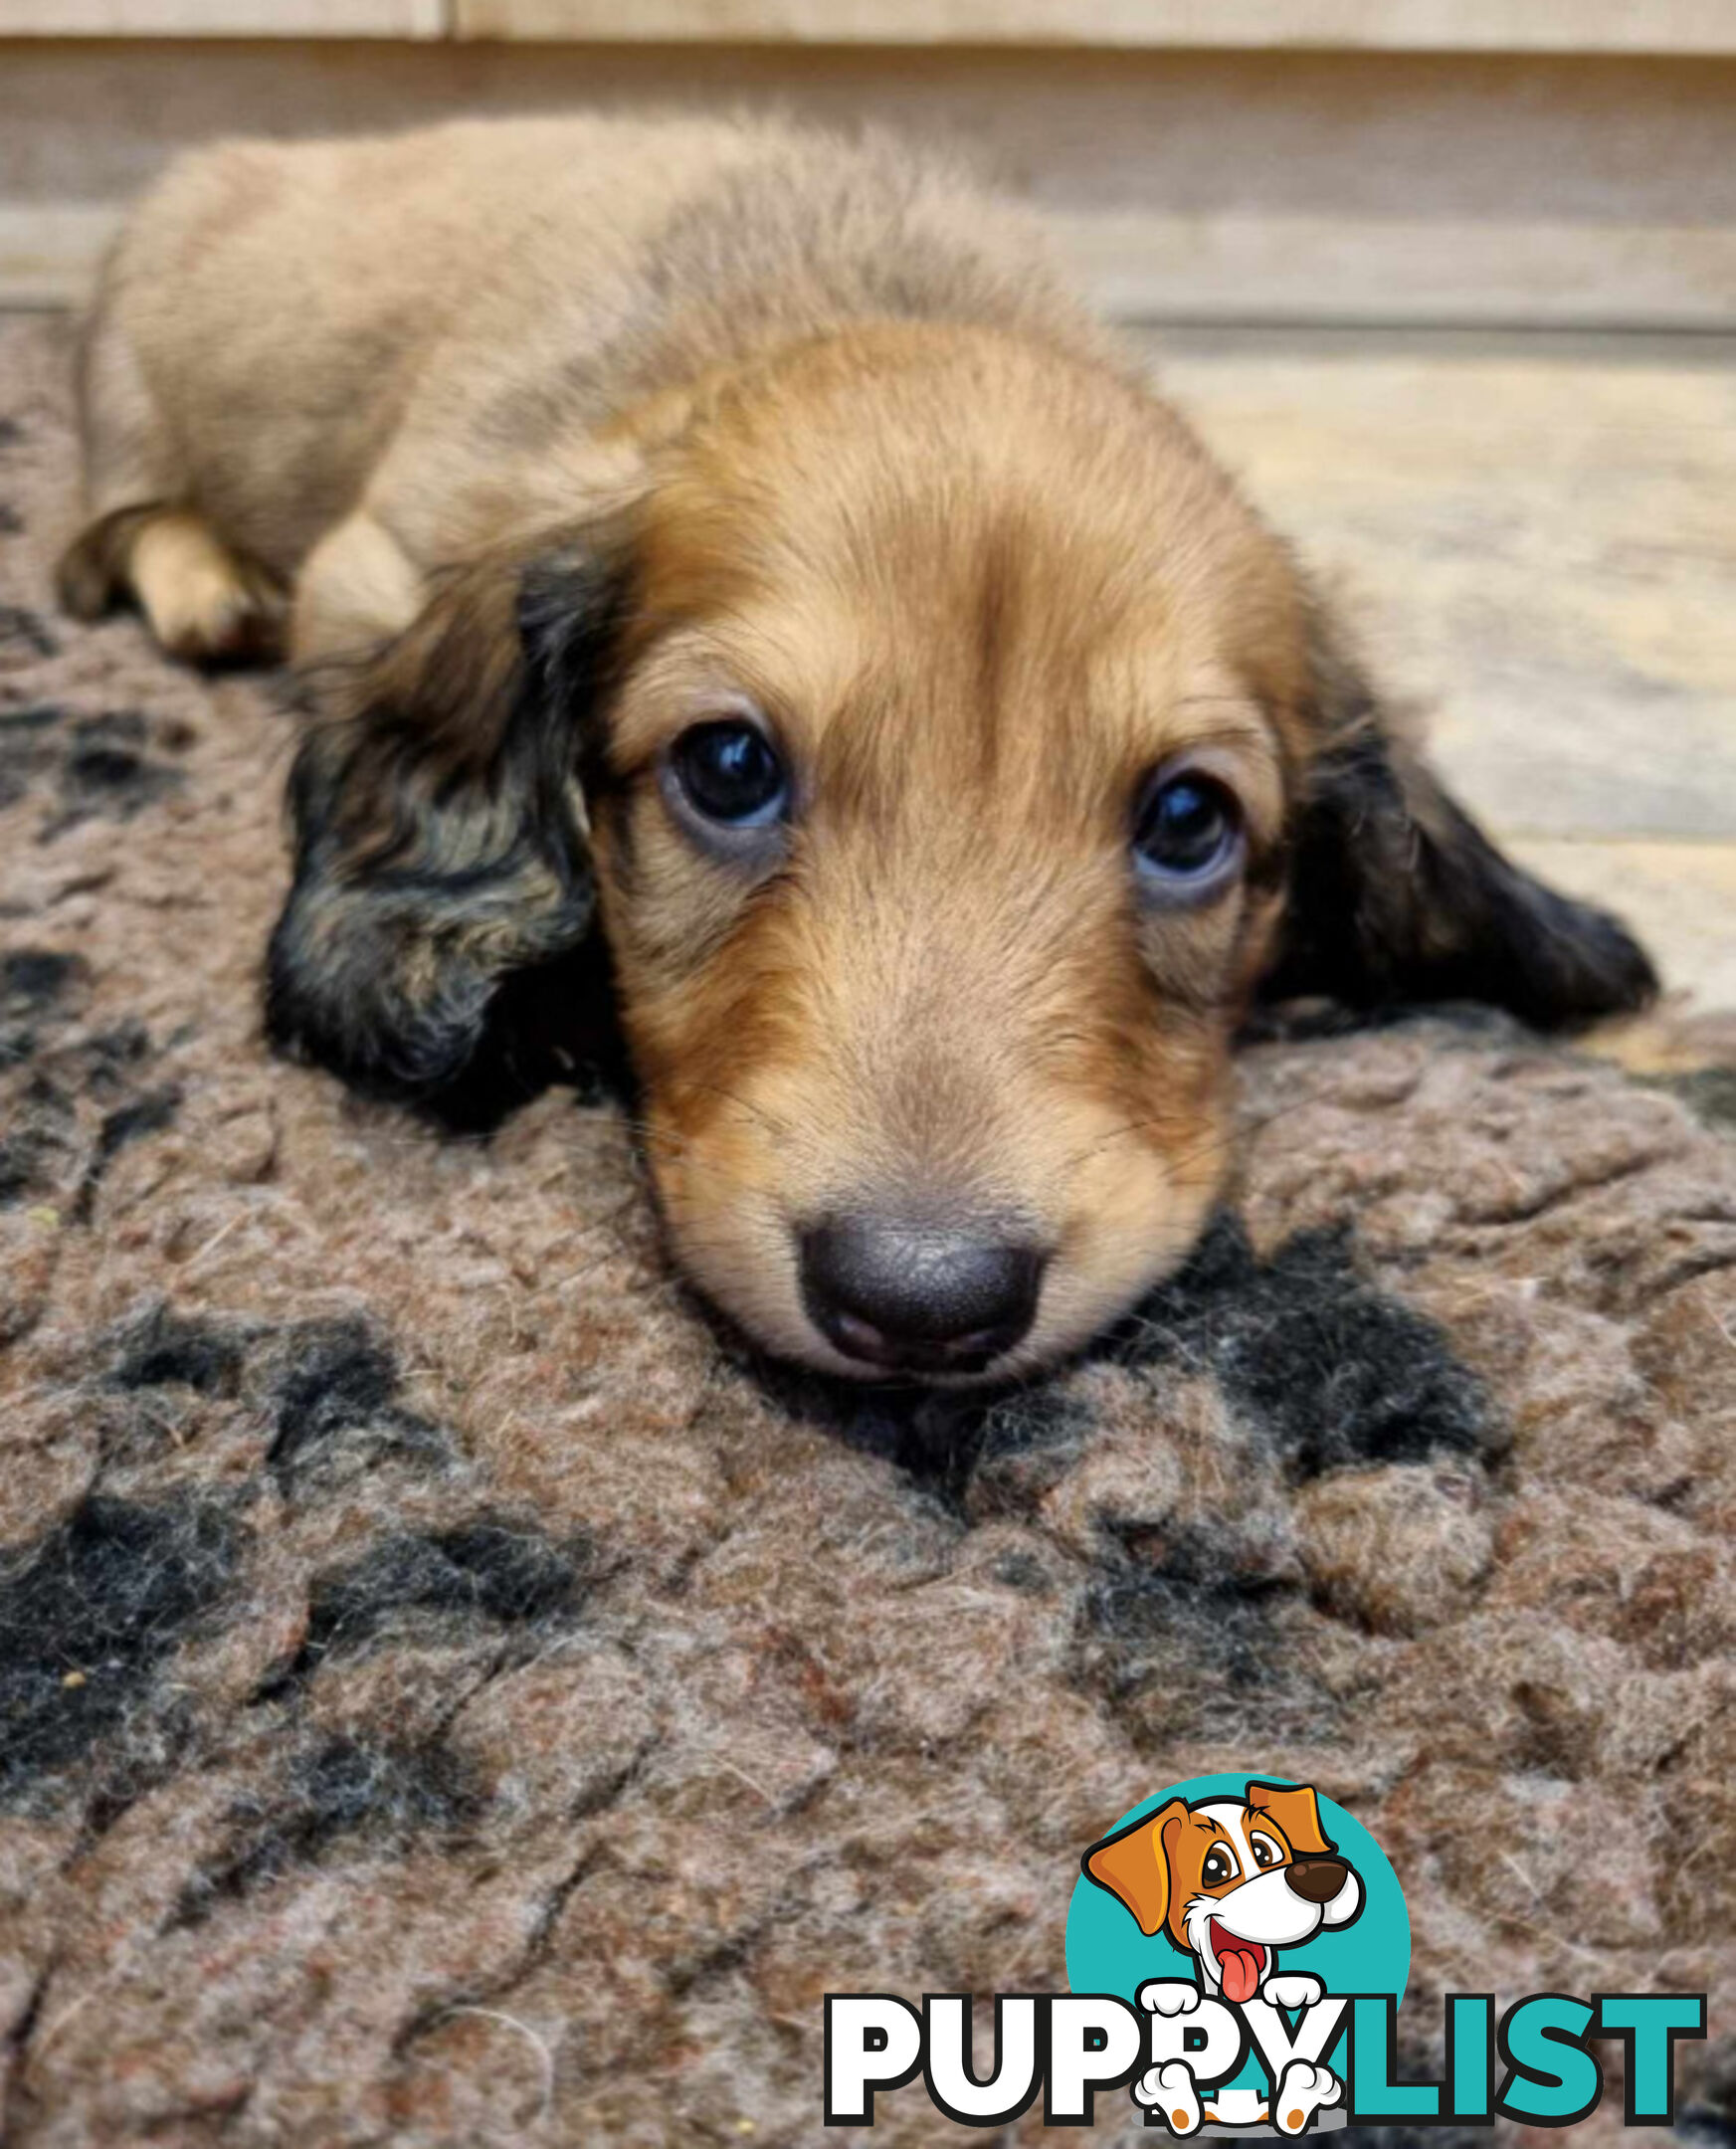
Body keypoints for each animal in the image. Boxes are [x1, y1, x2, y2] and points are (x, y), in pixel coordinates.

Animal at [58, 117, 1658, 1384]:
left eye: (1189, 820)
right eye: (727, 769)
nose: (921, 1303)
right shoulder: (373, 567)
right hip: (131, 383)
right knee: (114, 522)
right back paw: (201, 584)